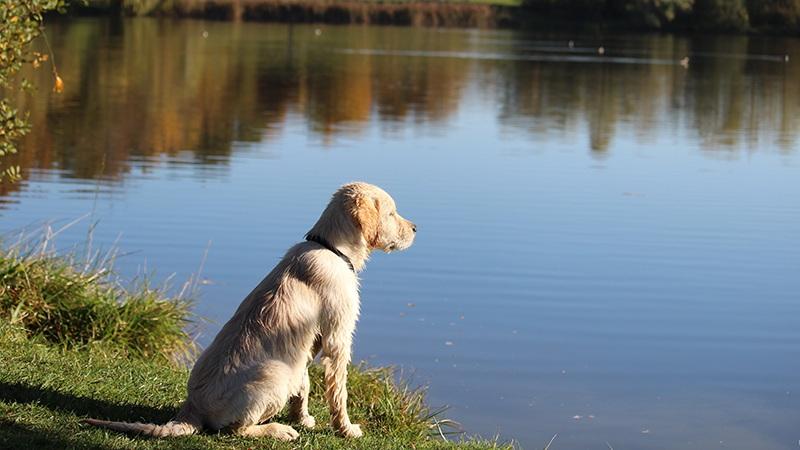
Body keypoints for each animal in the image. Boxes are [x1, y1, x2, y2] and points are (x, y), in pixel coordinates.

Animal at [82, 182, 418, 440]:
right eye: (391, 213)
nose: (415, 228)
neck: (331, 248)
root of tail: (192, 408)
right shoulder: (338, 339)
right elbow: (339, 393)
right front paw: (346, 430)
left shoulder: (308, 345)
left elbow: (305, 384)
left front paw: (303, 418)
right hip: (275, 373)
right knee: (235, 430)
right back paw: (278, 431)